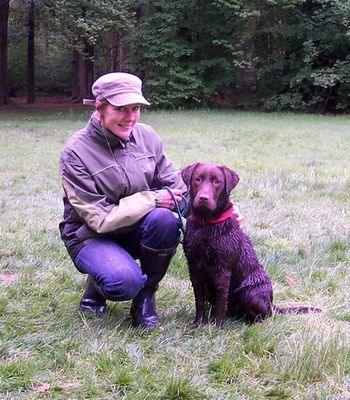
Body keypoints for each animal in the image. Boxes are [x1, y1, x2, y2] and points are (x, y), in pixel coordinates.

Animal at [182, 162, 322, 328]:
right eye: (197, 179)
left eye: (217, 182)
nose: (203, 198)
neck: (206, 226)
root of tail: (271, 304)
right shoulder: (193, 267)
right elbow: (199, 301)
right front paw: (198, 324)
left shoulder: (223, 270)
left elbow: (221, 301)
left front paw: (215, 326)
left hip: (250, 293)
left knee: (263, 317)